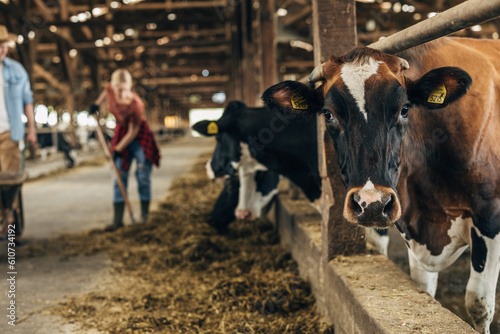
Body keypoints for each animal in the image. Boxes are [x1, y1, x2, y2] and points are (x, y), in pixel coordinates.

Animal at [262, 36, 500, 332]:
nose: (372, 204)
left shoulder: (489, 219)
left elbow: (478, 304)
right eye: (328, 114)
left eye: (405, 108)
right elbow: (422, 288)